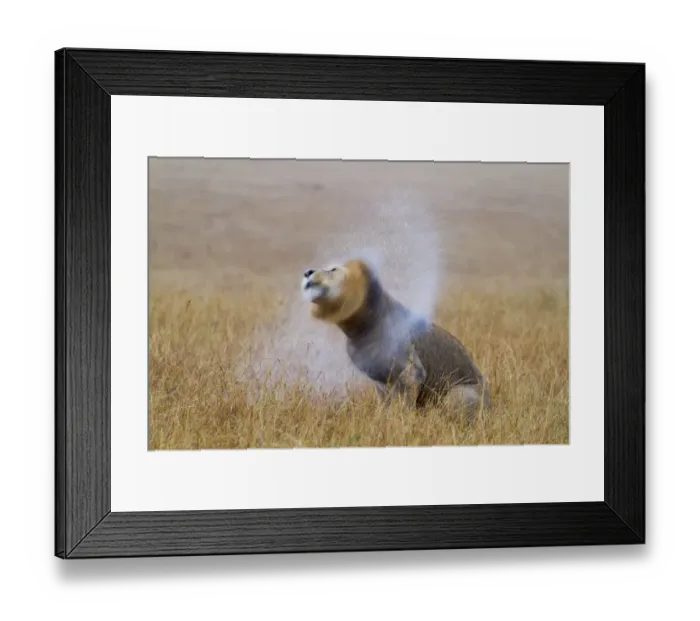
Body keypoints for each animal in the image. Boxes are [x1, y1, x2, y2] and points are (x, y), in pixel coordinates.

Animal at [301, 258, 491, 417]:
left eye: (333, 269)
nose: (307, 272)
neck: (361, 328)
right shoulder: (379, 380)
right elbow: (384, 405)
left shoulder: (411, 372)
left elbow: (405, 406)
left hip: (458, 393)